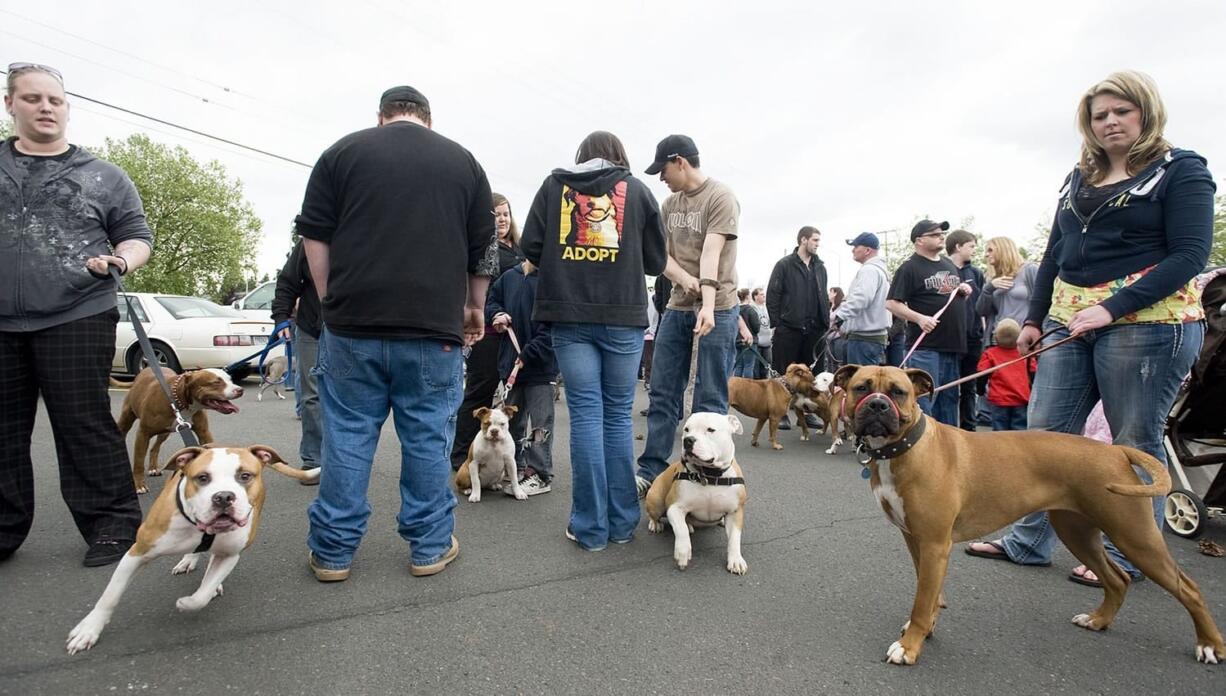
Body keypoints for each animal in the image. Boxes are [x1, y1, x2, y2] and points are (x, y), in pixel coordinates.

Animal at [65, 446, 318, 651]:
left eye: (244, 476)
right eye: (202, 478)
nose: (223, 497)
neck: (200, 527)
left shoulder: (230, 555)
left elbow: (202, 595)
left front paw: (188, 602)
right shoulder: (137, 552)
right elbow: (110, 596)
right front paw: (88, 630)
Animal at [115, 367, 246, 492]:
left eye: (230, 379)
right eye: (215, 382)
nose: (240, 390)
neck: (179, 401)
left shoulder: (204, 433)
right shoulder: (143, 434)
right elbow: (138, 462)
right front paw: (139, 485)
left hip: (164, 433)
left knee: (155, 447)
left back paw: (153, 468)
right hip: (126, 420)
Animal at [642, 411, 745, 573]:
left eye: (710, 430)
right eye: (687, 430)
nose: (688, 440)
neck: (710, 476)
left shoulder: (736, 512)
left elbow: (734, 538)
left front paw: (736, 560)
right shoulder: (674, 507)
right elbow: (681, 529)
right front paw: (683, 552)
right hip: (656, 500)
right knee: (655, 515)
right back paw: (656, 524)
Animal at [833, 362, 1226, 666]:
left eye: (898, 392)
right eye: (861, 387)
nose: (878, 405)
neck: (905, 447)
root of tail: (1115, 452)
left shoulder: (933, 544)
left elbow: (922, 599)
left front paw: (909, 646)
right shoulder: (918, 542)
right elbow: (931, 594)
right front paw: (927, 628)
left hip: (1135, 537)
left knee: (1189, 589)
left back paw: (1210, 645)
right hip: (1078, 532)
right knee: (1116, 580)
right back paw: (1098, 621)